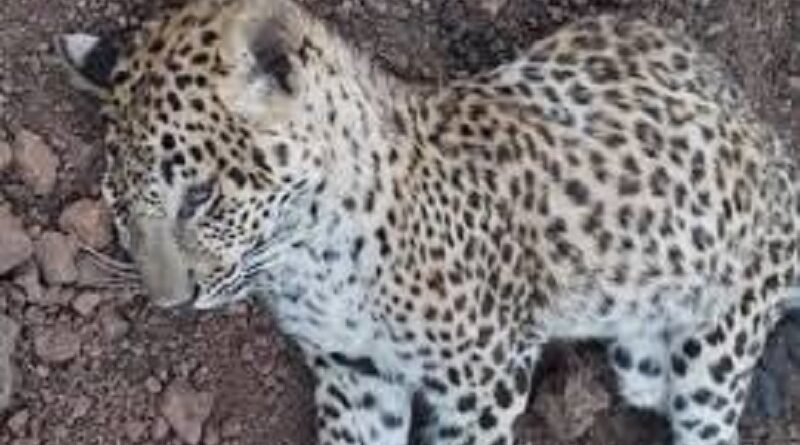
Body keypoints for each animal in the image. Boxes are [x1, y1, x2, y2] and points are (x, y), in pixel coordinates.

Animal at [56, 0, 799, 444]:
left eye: (202, 196)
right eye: (119, 206)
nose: (171, 303)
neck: (306, 261)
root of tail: (772, 144)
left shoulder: (484, 376)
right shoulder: (355, 376)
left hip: (717, 347)